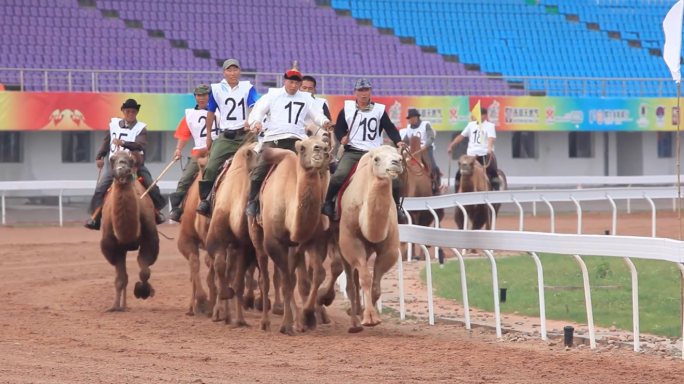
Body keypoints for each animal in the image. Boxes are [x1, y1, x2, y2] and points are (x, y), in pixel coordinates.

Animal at [99, 150, 160, 312]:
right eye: (112, 159)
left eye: (130, 160)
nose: (122, 168)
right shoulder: (113, 247)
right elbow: (121, 278)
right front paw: (115, 307)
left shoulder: (150, 241)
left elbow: (145, 271)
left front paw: (143, 291)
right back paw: (123, 306)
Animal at [203, 142, 260, 326]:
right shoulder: (228, 244)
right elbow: (227, 272)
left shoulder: (235, 245)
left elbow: (231, 276)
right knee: (226, 275)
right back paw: (228, 316)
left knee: (226, 271)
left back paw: (226, 313)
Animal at [248, 136, 332, 334]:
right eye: (303, 148)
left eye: (325, 144)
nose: (321, 151)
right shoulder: (274, 242)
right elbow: (286, 282)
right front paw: (286, 325)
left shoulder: (314, 241)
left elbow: (318, 274)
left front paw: (308, 316)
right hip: (257, 235)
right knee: (265, 278)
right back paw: (265, 322)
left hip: (295, 249)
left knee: (295, 277)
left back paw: (299, 321)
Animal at [318, 146, 404, 332]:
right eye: (377, 159)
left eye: (400, 157)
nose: (396, 163)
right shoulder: (351, 241)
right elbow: (364, 278)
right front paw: (369, 318)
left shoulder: (388, 248)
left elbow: (376, 285)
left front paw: (368, 312)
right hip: (336, 237)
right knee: (344, 274)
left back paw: (354, 310)